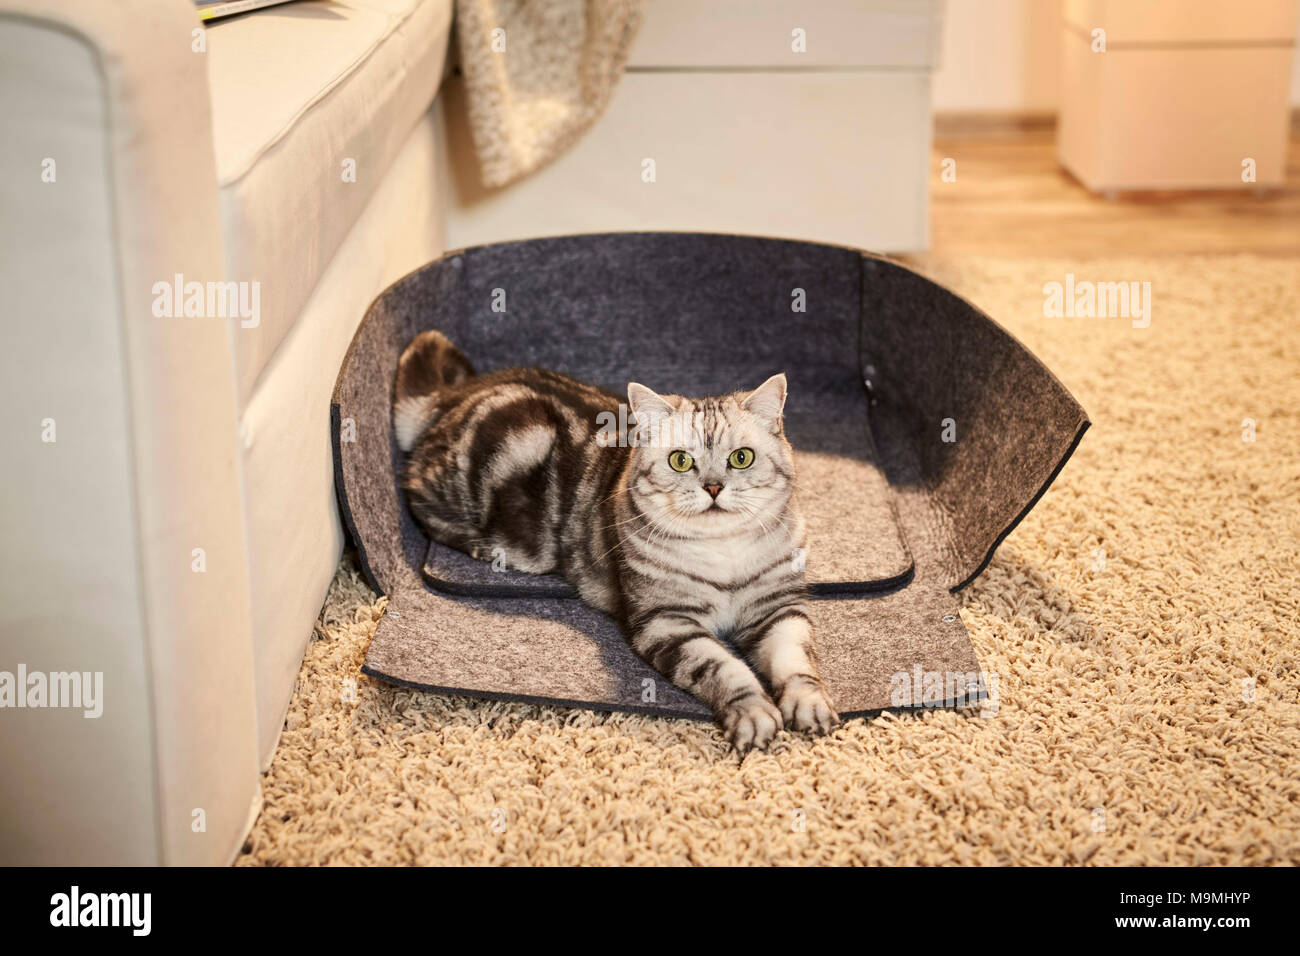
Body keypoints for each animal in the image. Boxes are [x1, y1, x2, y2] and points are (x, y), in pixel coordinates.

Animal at [390, 330, 837, 754]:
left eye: (741, 458)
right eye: (681, 461)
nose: (713, 487)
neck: (724, 551)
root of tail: (456, 394)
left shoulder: (777, 608)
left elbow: (795, 659)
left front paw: (808, 704)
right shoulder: (666, 621)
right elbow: (723, 669)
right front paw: (754, 712)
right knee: (415, 494)